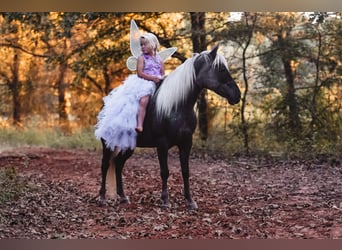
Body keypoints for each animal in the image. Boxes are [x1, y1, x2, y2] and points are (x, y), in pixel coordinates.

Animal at [97, 46, 240, 210]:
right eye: (221, 69)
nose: (237, 94)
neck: (177, 106)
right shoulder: (162, 144)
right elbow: (164, 171)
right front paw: (165, 200)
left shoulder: (186, 143)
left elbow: (185, 171)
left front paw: (190, 201)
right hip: (108, 144)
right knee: (105, 166)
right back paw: (102, 197)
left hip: (128, 146)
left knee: (119, 164)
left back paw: (123, 197)